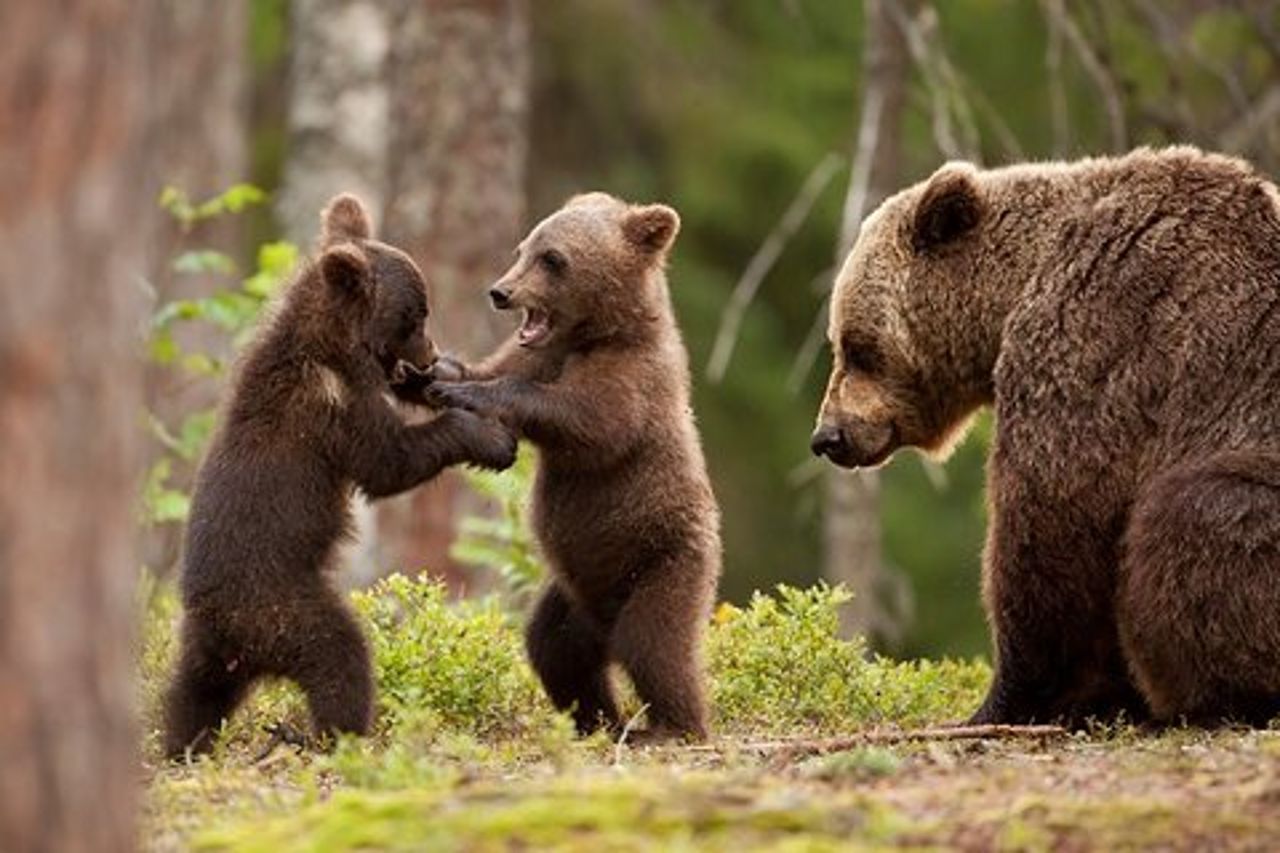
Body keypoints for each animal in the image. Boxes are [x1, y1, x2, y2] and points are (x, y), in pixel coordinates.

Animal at [163, 194, 517, 758]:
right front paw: (489, 438)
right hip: (284, 609)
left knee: (190, 696)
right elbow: (389, 462)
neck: (333, 347)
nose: (429, 354)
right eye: (416, 314)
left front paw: (449, 381)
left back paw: (180, 744)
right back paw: (334, 733)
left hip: (206, 652)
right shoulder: (331, 409)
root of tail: (230, 634)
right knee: (340, 656)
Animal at [419, 192, 722, 741]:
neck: (595, 333)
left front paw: (470, 394)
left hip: (664, 562)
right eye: (523, 248)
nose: (500, 292)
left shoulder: (634, 378)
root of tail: (604, 622)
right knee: (555, 649)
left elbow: (592, 423)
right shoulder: (539, 352)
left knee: (655, 644)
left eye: (553, 259)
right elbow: (495, 368)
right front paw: (439, 372)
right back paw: (597, 720)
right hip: (573, 596)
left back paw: (671, 726)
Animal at [811, 146, 1280, 727]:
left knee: (1194, 511)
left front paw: (1006, 700)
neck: (1012, 292)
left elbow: (1051, 521)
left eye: (857, 347)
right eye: (840, 341)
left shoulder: (1097, 341)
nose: (827, 436)